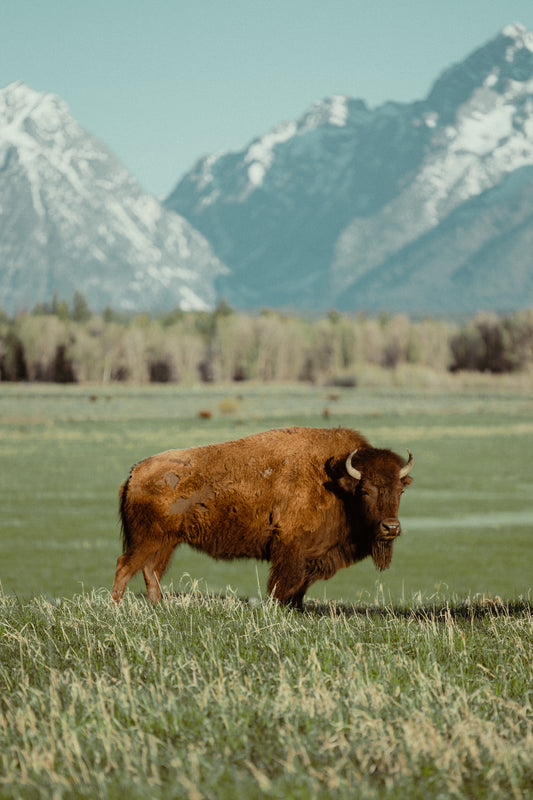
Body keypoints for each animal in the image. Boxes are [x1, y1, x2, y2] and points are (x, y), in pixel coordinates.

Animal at [111, 428, 412, 608]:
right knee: (125, 566)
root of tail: (134, 473)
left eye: (400, 490)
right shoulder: (291, 550)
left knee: (151, 571)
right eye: (365, 490)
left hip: (166, 542)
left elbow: (300, 588)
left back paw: (158, 608)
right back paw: (116, 608)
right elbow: (283, 585)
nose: (391, 528)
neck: (337, 483)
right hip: (146, 540)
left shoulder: (312, 557)